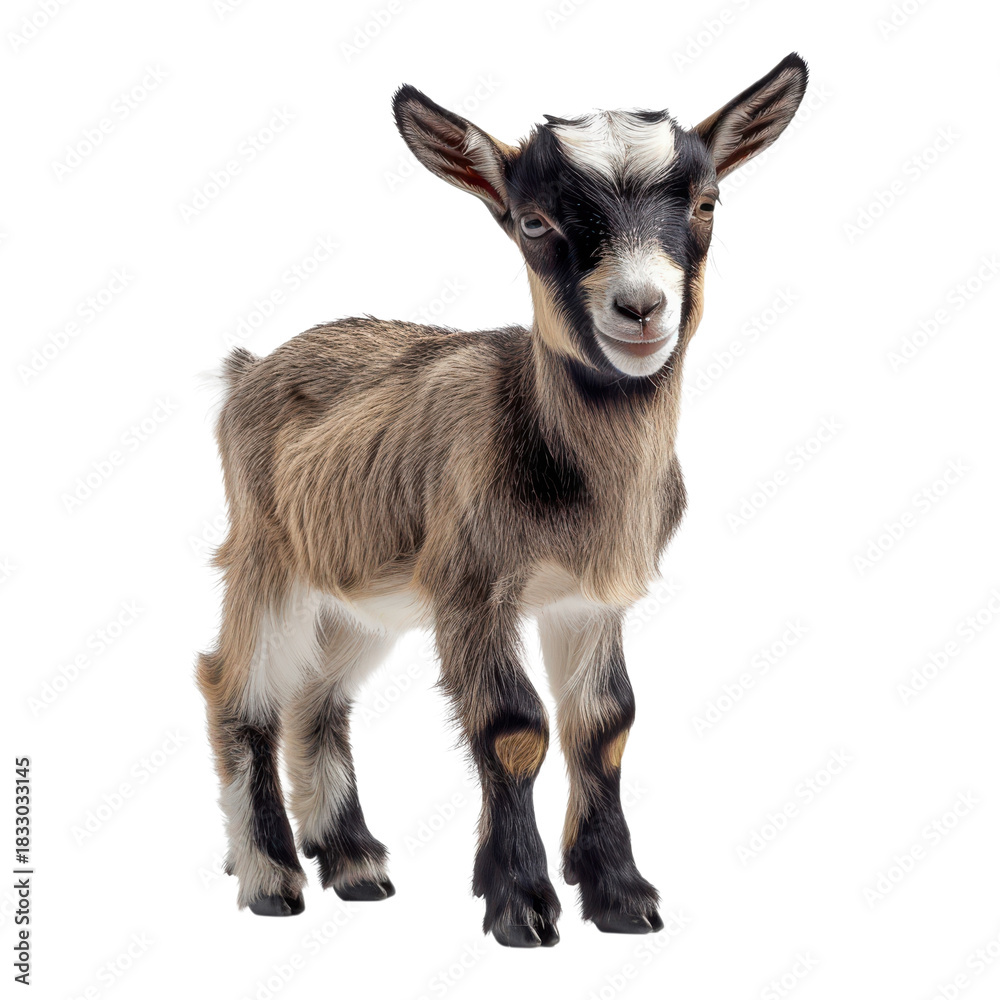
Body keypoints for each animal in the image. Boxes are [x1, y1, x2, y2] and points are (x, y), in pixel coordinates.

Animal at [197, 53, 808, 947]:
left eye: (706, 203)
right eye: (534, 221)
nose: (640, 308)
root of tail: (250, 368)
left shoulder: (588, 598)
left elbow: (606, 724)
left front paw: (620, 895)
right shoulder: (473, 584)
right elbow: (515, 726)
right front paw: (520, 903)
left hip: (364, 596)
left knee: (319, 696)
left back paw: (355, 865)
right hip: (266, 554)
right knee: (239, 690)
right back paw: (271, 876)